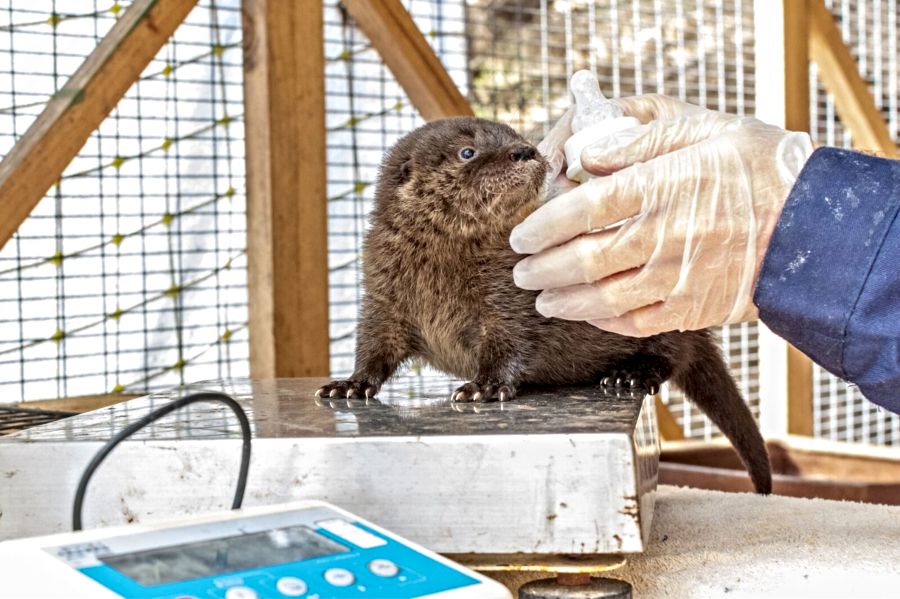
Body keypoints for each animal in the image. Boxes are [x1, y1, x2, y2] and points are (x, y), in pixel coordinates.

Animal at [318, 116, 772, 492]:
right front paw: (349, 384)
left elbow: (509, 344)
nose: (525, 151)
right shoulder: (383, 295)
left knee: (671, 356)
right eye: (468, 152)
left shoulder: (506, 298)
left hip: (663, 324)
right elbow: (375, 347)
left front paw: (483, 387)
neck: (438, 271)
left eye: (515, 136)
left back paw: (628, 375)